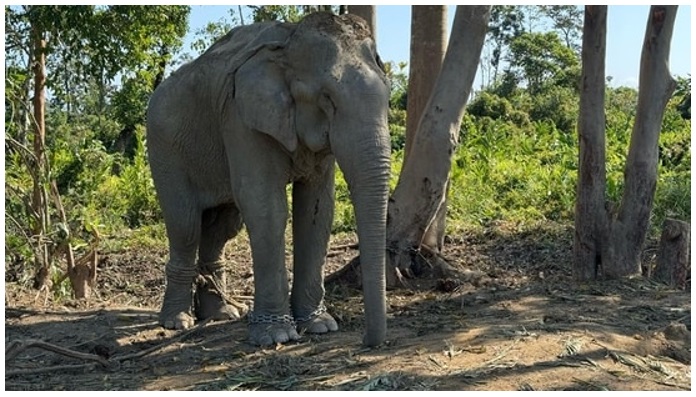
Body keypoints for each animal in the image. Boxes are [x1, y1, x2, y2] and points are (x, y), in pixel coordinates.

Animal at [145, 11, 392, 346]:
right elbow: (265, 204)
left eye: (389, 95)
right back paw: (177, 321)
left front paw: (320, 325)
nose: (368, 341)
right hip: (164, 148)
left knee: (222, 226)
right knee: (185, 224)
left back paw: (222, 314)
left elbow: (317, 209)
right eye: (327, 99)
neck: (289, 41)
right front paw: (278, 336)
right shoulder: (240, 117)